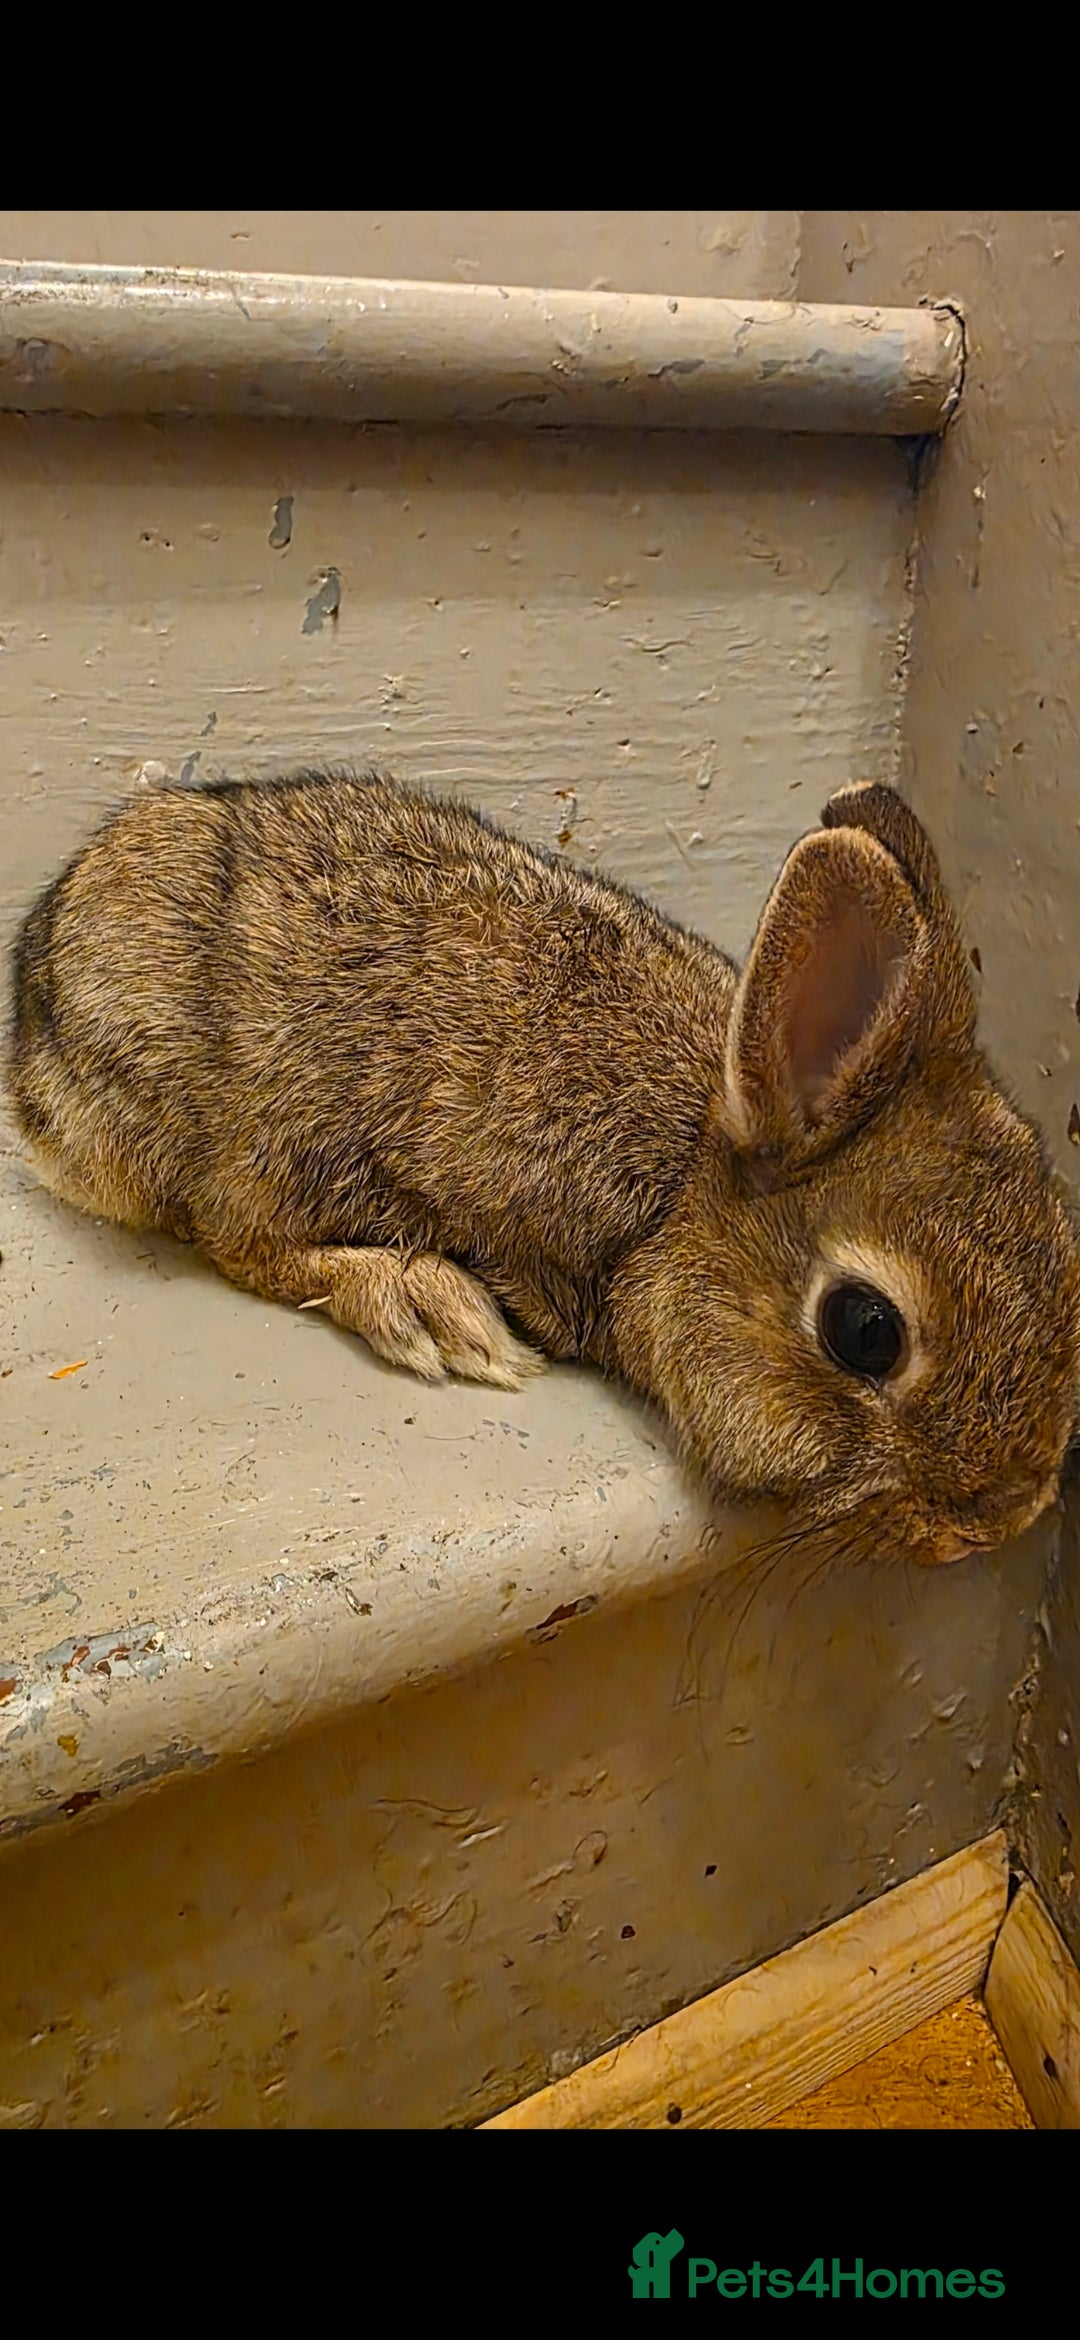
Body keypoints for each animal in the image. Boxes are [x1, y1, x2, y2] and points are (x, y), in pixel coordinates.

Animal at [7, 766, 1080, 1569]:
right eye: (866, 1331)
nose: (1003, 1519)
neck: (677, 1193)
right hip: (233, 1129)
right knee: (237, 1240)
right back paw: (428, 1306)